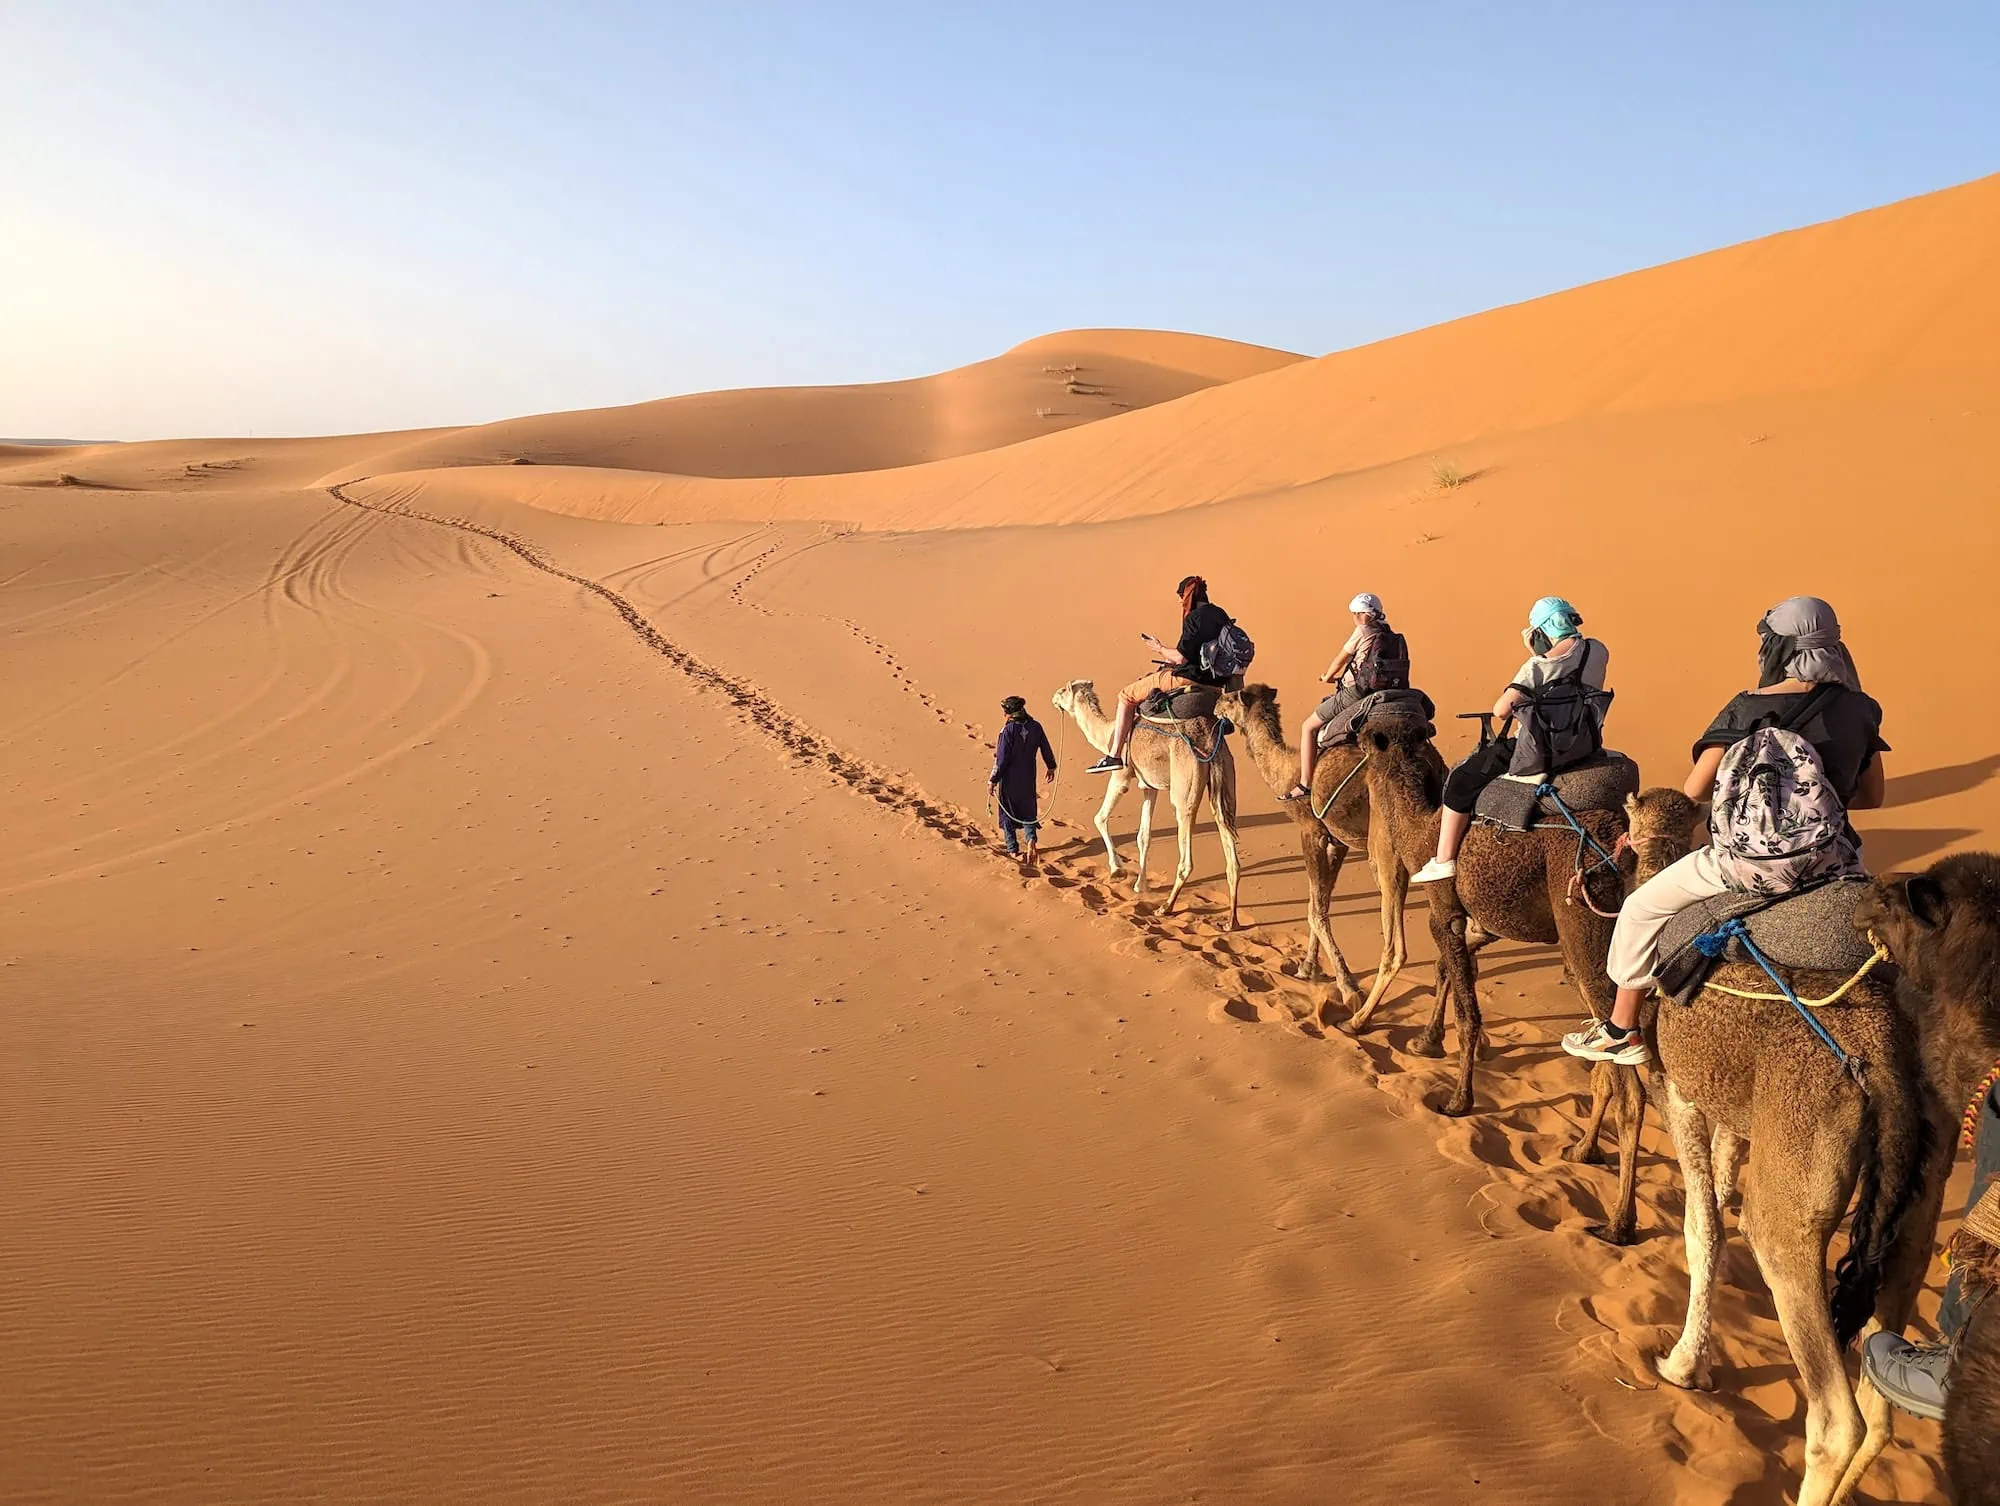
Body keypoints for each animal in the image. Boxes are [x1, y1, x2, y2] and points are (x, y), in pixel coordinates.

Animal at [1050, 680, 1242, 926]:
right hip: (1225, 778)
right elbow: (1144, 836)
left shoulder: (1121, 776)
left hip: (1184, 790)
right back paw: (1231, 921)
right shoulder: (1149, 787)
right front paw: (1140, 885)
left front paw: (1117, 870)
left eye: (1064, 690)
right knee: (1228, 843)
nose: (1054, 698)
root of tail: (1209, 742)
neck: (1108, 733)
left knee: (1186, 850)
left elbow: (1099, 817)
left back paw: (1166, 908)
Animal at [1218, 684, 1440, 1017]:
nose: (1216, 704)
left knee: (1396, 944)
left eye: (1231, 698)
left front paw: (1348, 987)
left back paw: (1362, 1016)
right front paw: (1308, 968)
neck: (1285, 772)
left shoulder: (1311, 831)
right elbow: (1318, 903)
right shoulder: (1337, 841)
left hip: (1385, 847)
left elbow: (1315, 910)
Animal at [1345, 705, 1651, 1241]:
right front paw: (1425, 1042)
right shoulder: (1481, 923)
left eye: (1367, 729)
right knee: (1609, 1055)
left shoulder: (1443, 910)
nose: (1348, 729)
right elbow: (1450, 968)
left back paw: (1618, 1223)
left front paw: (1457, 1100)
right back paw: (1582, 1149)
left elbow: (1468, 1012)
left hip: (1588, 925)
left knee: (1628, 1078)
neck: (1419, 828)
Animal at [1633, 795, 1998, 1506]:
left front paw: (1684, 1365)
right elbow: (1720, 1188)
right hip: (1913, 1210)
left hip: (1793, 1203)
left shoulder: (1681, 1096)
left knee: (1836, 1417)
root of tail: (1882, 1060)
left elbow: (1702, 1228)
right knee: (1882, 1400)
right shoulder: (1734, 1112)